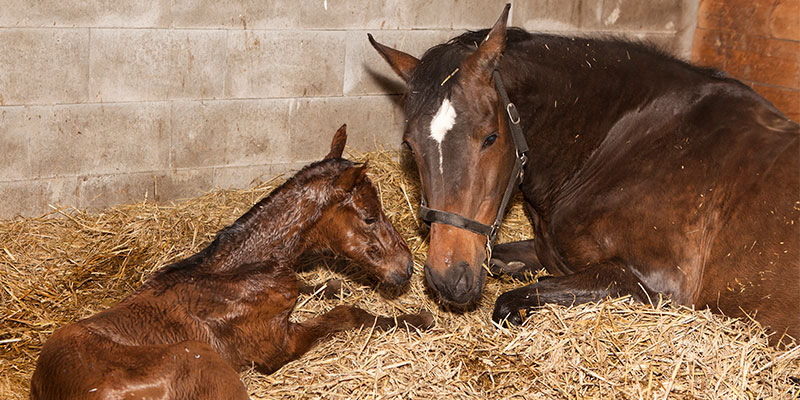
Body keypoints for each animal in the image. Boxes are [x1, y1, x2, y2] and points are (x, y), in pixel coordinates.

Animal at [31, 126, 434, 400]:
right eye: (369, 217)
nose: (406, 267)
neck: (239, 273)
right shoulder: (278, 346)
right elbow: (349, 315)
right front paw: (416, 319)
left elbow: (318, 289)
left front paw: (330, 284)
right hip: (204, 360)